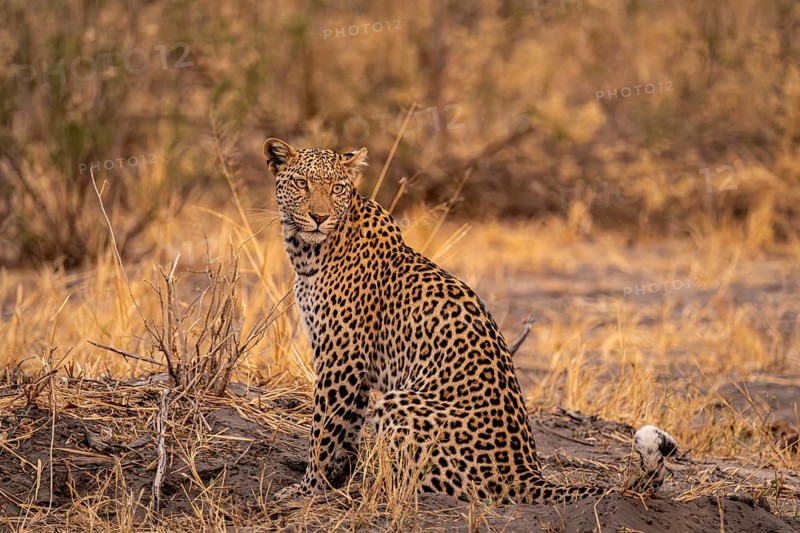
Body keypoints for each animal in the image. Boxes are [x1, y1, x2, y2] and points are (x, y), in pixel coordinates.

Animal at [262, 137, 605, 505]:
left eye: (337, 188)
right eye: (302, 183)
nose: (319, 217)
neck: (308, 252)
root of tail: (526, 474)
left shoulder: (342, 355)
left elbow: (325, 429)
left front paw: (309, 489)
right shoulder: (351, 364)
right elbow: (346, 430)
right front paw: (335, 481)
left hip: (399, 404)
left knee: (426, 484)